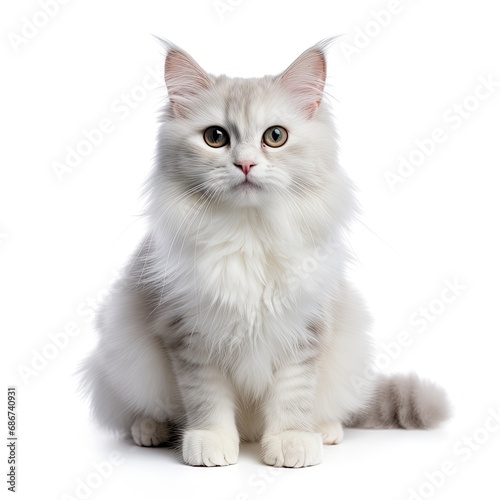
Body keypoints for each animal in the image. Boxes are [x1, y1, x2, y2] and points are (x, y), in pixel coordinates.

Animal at [80, 37, 452, 466]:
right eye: (215, 137)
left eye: (275, 136)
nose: (245, 164)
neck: (249, 234)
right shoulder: (190, 335)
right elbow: (207, 399)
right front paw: (210, 443)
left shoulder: (303, 332)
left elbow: (292, 397)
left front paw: (292, 442)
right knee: (141, 410)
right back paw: (152, 430)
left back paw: (324, 431)